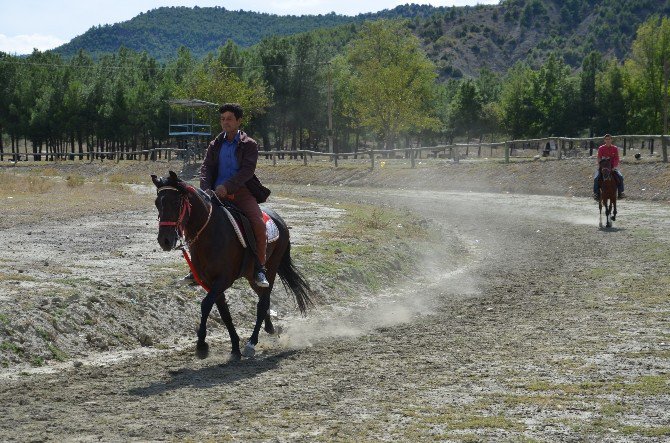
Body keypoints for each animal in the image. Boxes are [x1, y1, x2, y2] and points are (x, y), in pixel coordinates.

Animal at [151, 171, 314, 360]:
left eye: (176, 202)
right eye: (157, 203)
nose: (164, 240)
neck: (211, 233)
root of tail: (280, 220)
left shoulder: (224, 279)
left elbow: (205, 305)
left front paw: (201, 345)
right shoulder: (210, 282)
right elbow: (224, 313)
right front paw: (235, 347)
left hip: (271, 268)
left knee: (263, 303)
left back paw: (252, 343)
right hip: (251, 276)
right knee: (262, 298)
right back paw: (270, 328)